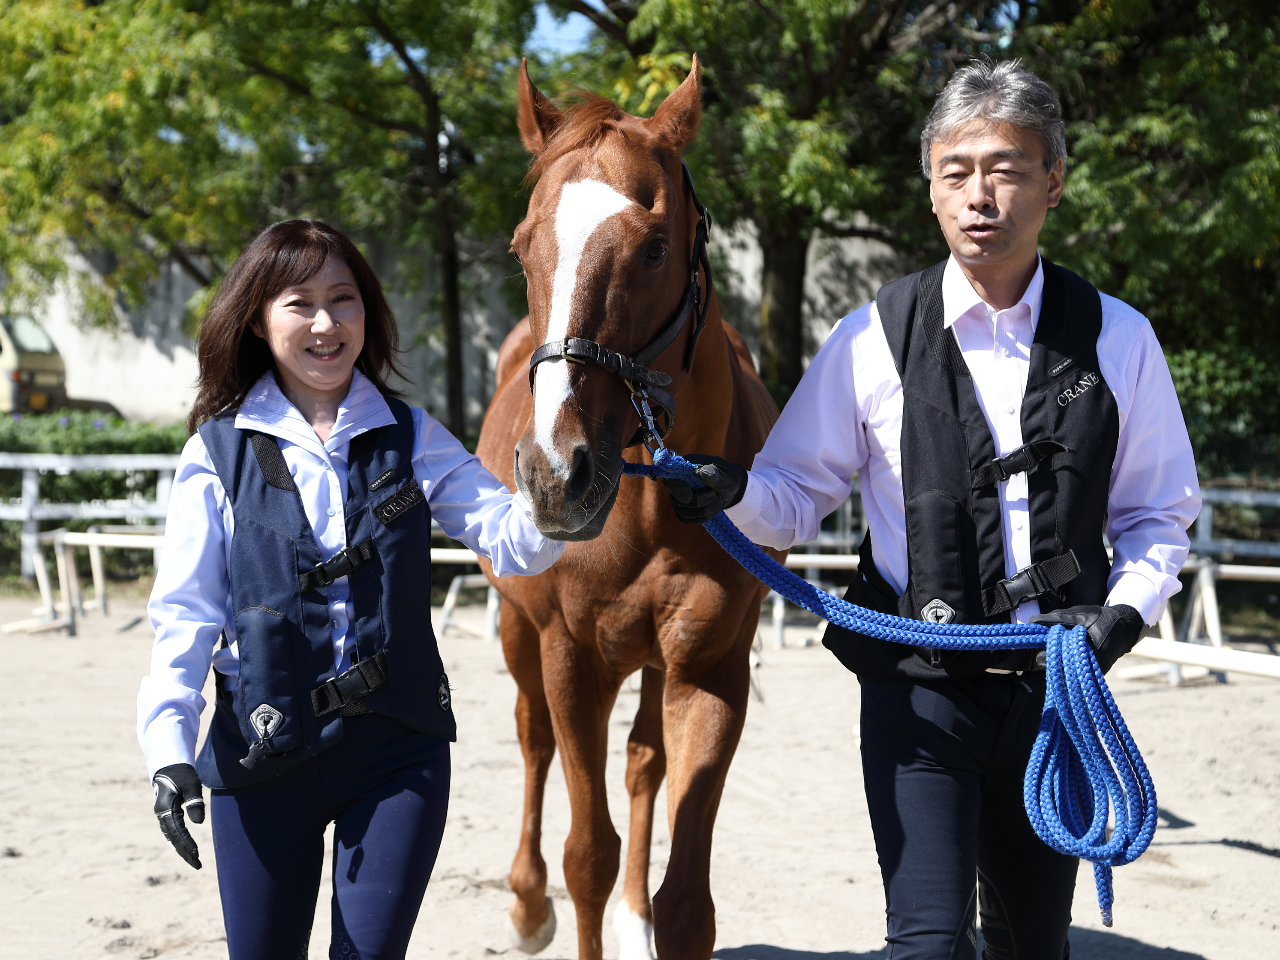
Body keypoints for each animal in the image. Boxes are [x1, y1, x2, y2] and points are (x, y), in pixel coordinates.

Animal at [476, 56, 781, 960]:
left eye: (654, 248)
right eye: (522, 247)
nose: (554, 474)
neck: (650, 508)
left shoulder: (711, 669)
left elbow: (687, 903)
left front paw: (652, 915)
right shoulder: (570, 658)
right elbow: (587, 855)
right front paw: (553, 901)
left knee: (644, 762)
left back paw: (631, 915)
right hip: (520, 635)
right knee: (533, 739)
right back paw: (526, 904)